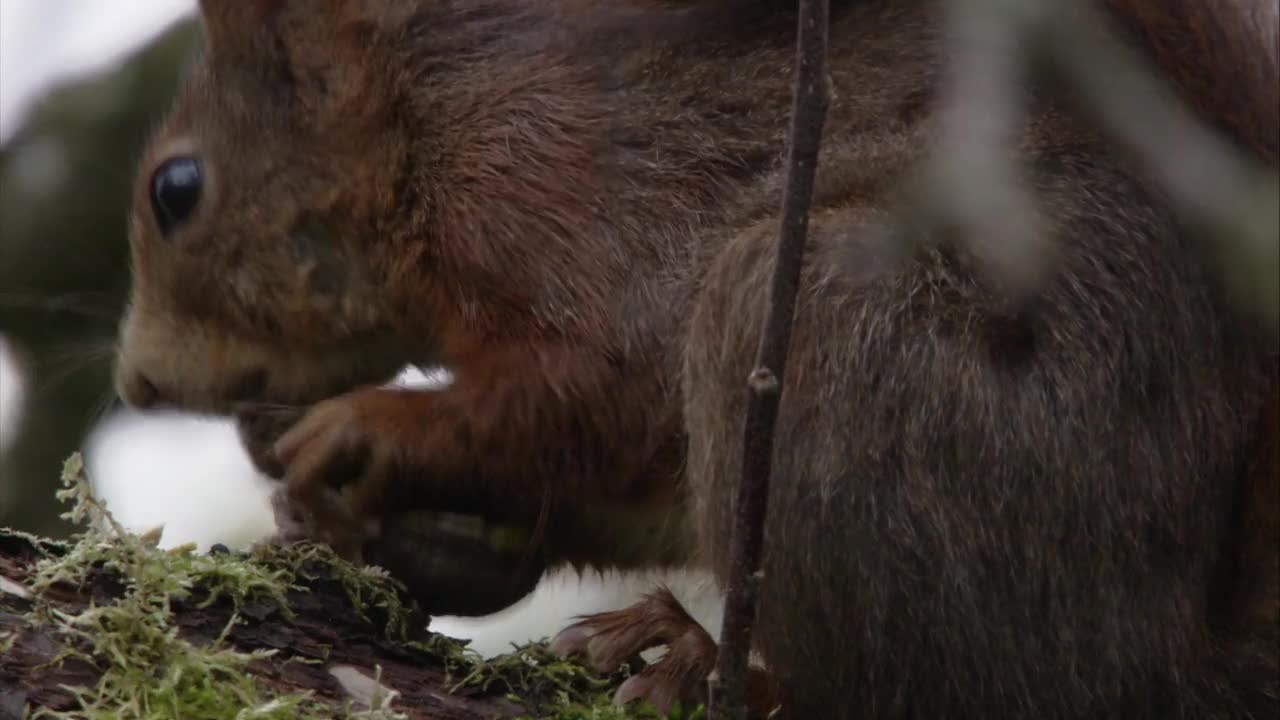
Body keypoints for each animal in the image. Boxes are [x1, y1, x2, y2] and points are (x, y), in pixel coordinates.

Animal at [115, 0, 1274, 712]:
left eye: (176, 189)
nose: (134, 380)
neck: (431, 112)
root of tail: (1183, 654)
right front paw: (382, 521)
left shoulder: (559, 187)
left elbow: (596, 391)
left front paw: (370, 431)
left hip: (859, 361)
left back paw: (722, 669)